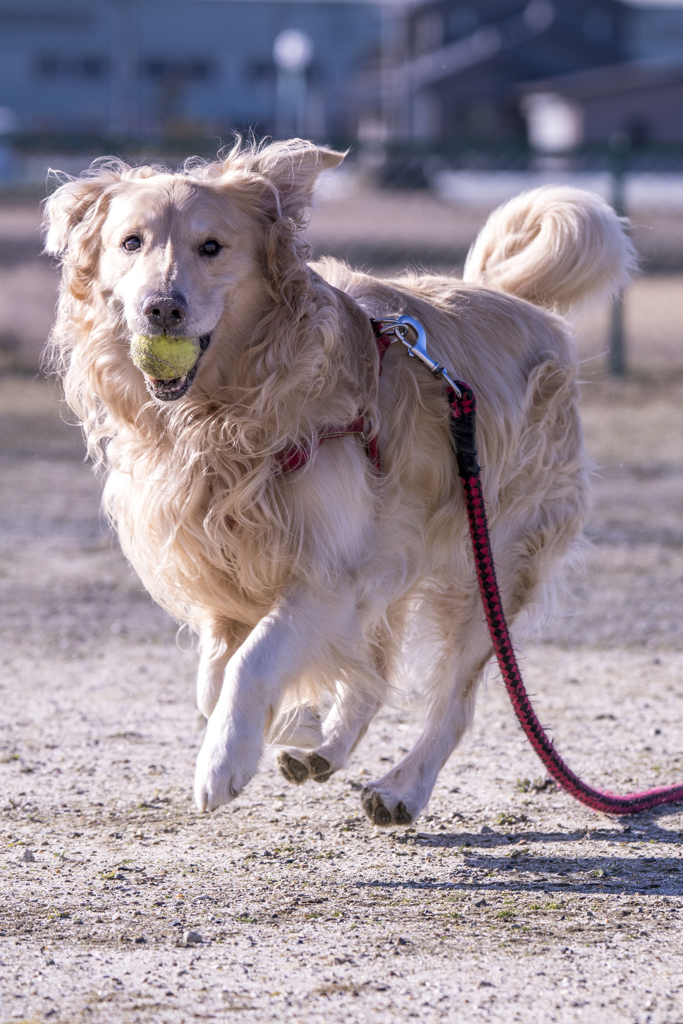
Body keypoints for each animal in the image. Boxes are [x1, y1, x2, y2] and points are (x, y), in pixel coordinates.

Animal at [44, 138, 634, 823]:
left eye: (211, 246)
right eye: (131, 242)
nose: (162, 308)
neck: (226, 412)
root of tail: (513, 301)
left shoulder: (330, 569)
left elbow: (253, 662)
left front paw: (225, 760)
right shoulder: (232, 567)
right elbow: (213, 679)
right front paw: (285, 724)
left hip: (493, 563)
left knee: (454, 702)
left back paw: (402, 787)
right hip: (399, 554)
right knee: (373, 676)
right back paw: (323, 750)